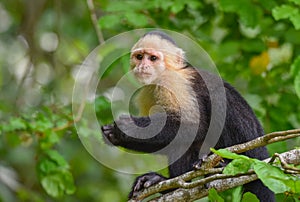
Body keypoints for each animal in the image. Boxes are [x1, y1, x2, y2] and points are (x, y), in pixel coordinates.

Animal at [101, 30, 274, 201]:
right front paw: (114, 135)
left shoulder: (173, 83)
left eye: (153, 58)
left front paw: (124, 128)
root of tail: (261, 155)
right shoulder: (147, 92)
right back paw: (168, 184)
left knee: (220, 99)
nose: (143, 65)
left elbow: (195, 126)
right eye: (139, 56)